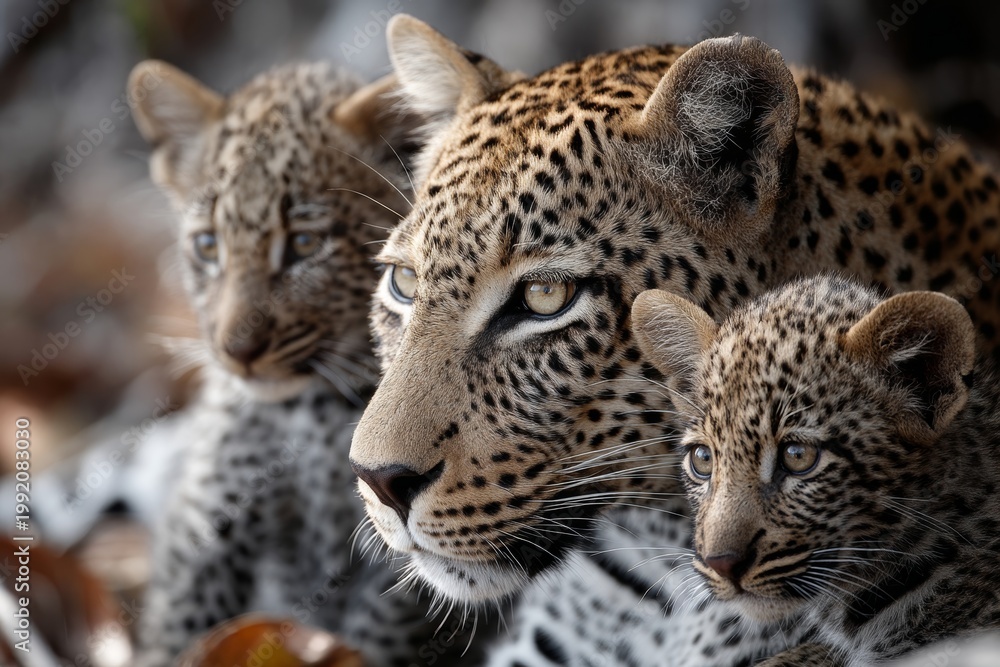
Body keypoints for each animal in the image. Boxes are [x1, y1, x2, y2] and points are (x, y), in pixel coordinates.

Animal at [126, 60, 451, 666]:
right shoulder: (208, 517)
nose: (237, 350)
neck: (308, 413)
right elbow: (178, 623)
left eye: (304, 244)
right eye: (208, 247)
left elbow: (380, 638)